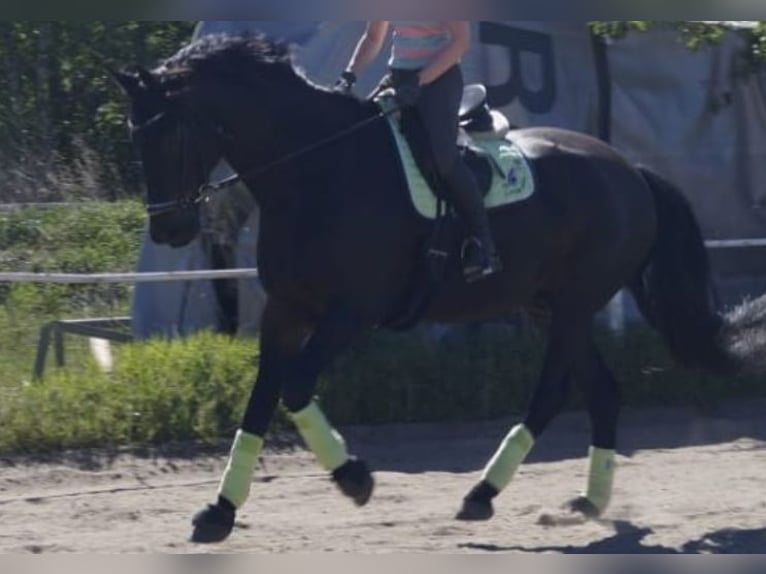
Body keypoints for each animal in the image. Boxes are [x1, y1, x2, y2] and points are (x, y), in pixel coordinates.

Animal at [115, 33, 766, 544]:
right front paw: (218, 512)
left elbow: (296, 389)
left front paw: (355, 478)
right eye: (133, 135)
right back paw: (586, 503)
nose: (169, 229)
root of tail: (629, 169)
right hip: (547, 306)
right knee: (603, 392)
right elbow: (260, 402)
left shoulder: (351, 312)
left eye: (169, 133)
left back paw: (482, 494)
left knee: (554, 394)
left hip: (575, 305)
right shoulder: (287, 310)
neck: (316, 172)